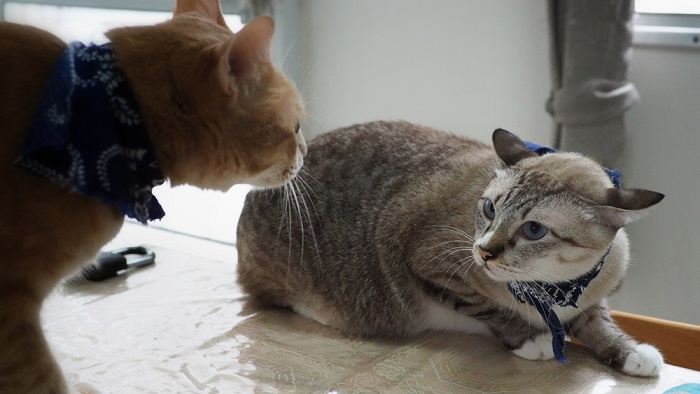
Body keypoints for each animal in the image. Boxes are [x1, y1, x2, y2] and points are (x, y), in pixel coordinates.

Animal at [238, 120, 664, 376]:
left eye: (534, 229)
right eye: (489, 208)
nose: (485, 252)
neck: (552, 288)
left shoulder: (590, 298)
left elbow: (600, 325)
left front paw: (633, 354)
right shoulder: (431, 267)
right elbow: (491, 310)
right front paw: (531, 340)